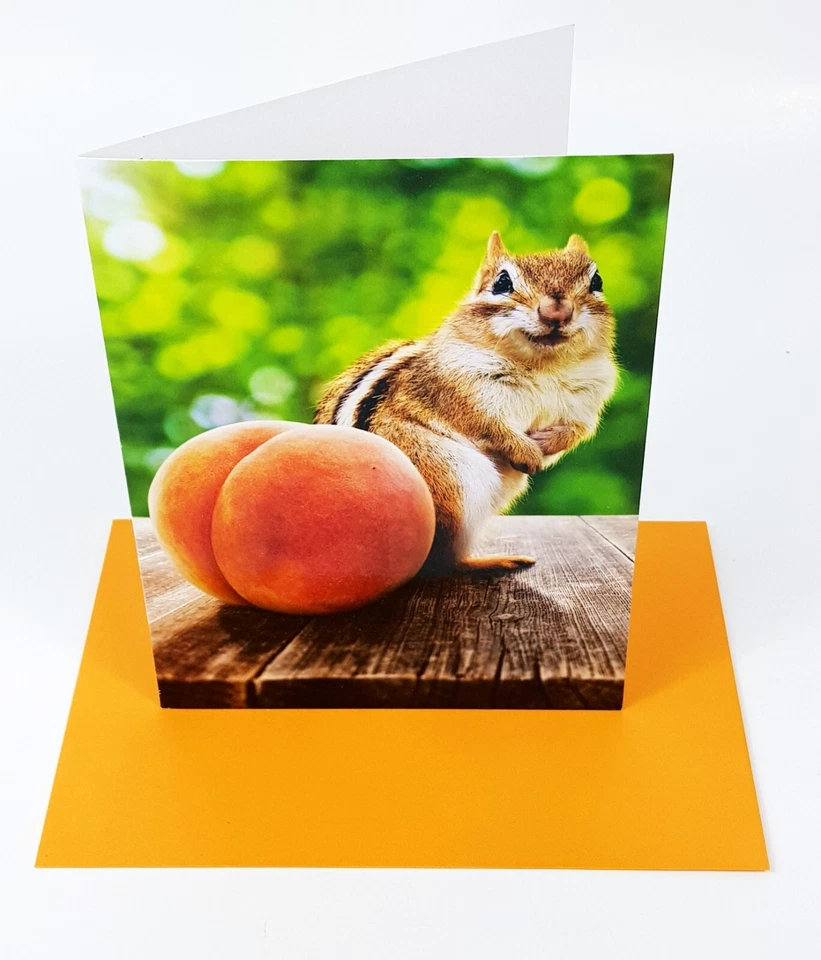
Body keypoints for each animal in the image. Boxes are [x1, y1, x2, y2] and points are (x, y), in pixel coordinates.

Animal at [314, 231, 619, 576]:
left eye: (596, 280)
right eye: (502, 282)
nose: (557, 312)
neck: (544, 366)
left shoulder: (587, 399)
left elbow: (576, 431)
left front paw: (544, 444)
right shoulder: (459, 392)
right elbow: (488, 426)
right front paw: (527, 452)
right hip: (451, 481)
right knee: (444, 562)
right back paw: (492, 560)